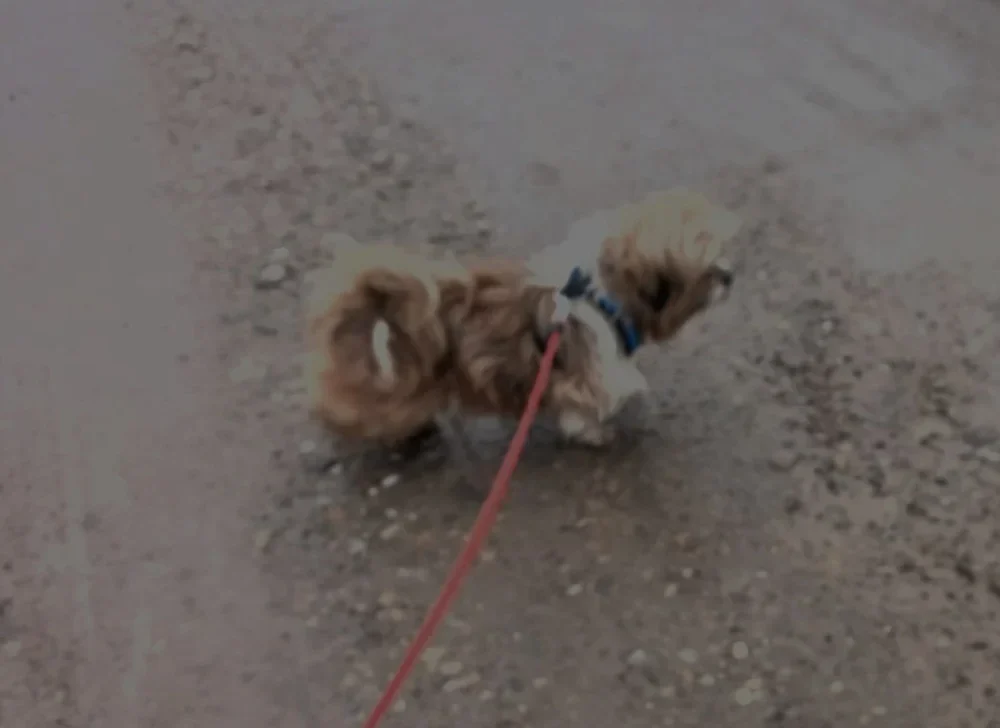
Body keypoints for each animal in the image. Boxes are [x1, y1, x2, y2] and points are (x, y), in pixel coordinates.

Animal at [304, 188, 741, 453]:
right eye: (706, 272)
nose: (731, 275)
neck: (602, 297)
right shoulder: (586, 378)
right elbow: (581, 409)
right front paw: (595, 432)